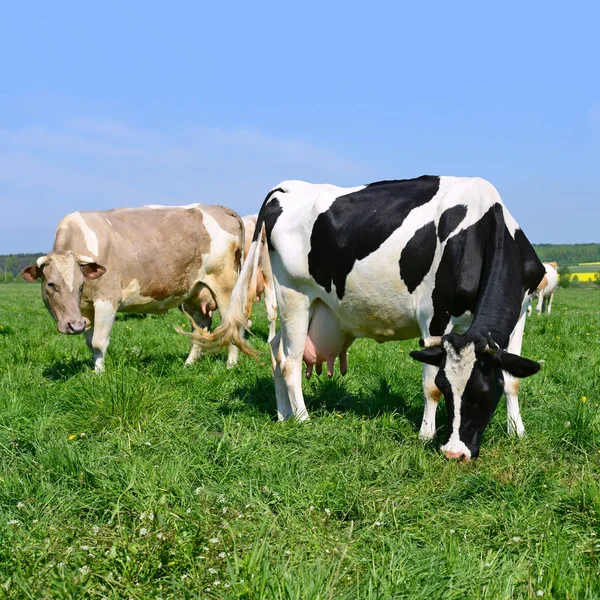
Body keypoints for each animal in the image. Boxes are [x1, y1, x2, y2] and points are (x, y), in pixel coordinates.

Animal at [21, 205, 244, 370]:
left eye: (80, 284)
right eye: (51, 284)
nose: (74, 325)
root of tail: (219, 208)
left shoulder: (107, 300)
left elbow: (99, 342)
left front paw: (99, 375)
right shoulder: (84, 309)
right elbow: (89, 343)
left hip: (224, 285)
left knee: (231, 324)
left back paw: (231, 365)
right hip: (196, 292)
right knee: (200, 326)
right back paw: (188, 364)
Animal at [195, 177, 548, 460]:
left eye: (483, 392)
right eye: (448, 390)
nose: (455, 453)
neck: (481, 226)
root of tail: (288, 186)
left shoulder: (519, 314)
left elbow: (514, 379)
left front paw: (517, 431)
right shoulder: (434, 319)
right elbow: (428, 385)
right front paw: (426, 435)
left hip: (307, 305)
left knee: (275, 348)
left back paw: (283, 414)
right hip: (293, 294)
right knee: (289, 361)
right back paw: (303, 419)